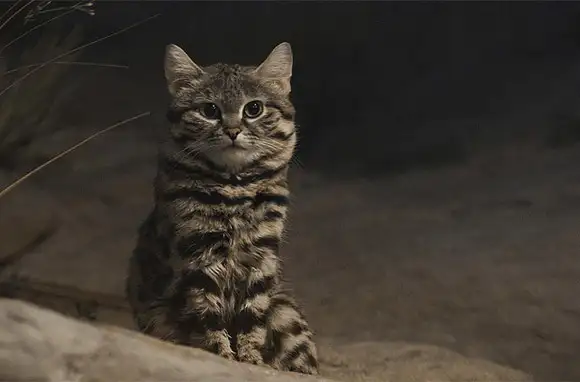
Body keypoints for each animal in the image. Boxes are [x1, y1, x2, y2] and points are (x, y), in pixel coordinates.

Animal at [124, 42, 320, 376]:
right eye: (209, 110)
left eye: (253, 109)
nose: (232, 131)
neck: (234, 185)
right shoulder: (199, 254)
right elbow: (207, 314)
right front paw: (223, 356)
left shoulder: (261, 257)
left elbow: (252, 318)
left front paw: (251, 360)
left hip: (284, 310)